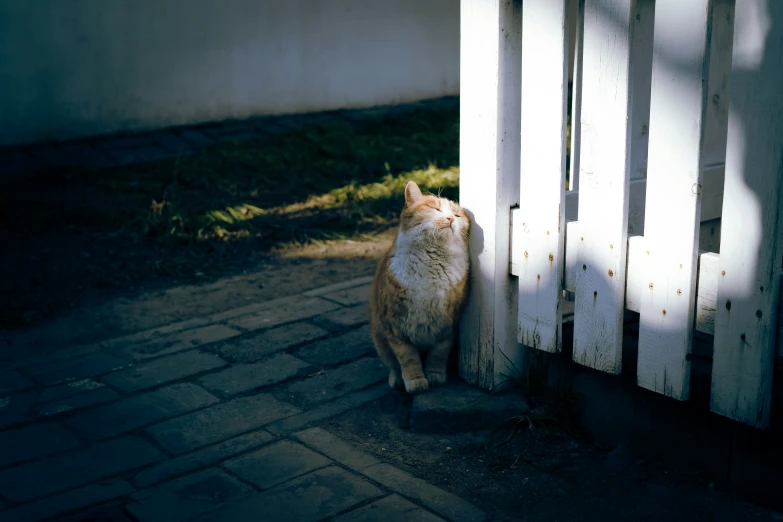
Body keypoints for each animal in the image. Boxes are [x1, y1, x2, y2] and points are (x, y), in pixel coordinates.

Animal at [370, 181, 472, 392]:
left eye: (457, 215)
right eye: (434, 208)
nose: (450, 218)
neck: (432, 265)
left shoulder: (448, 327)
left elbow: (438, 354)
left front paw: (434, 376)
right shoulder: (395, 328)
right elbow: (408, 358)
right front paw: (415, 381)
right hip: (379, 339)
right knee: (392, 364)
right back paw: (396, 379)